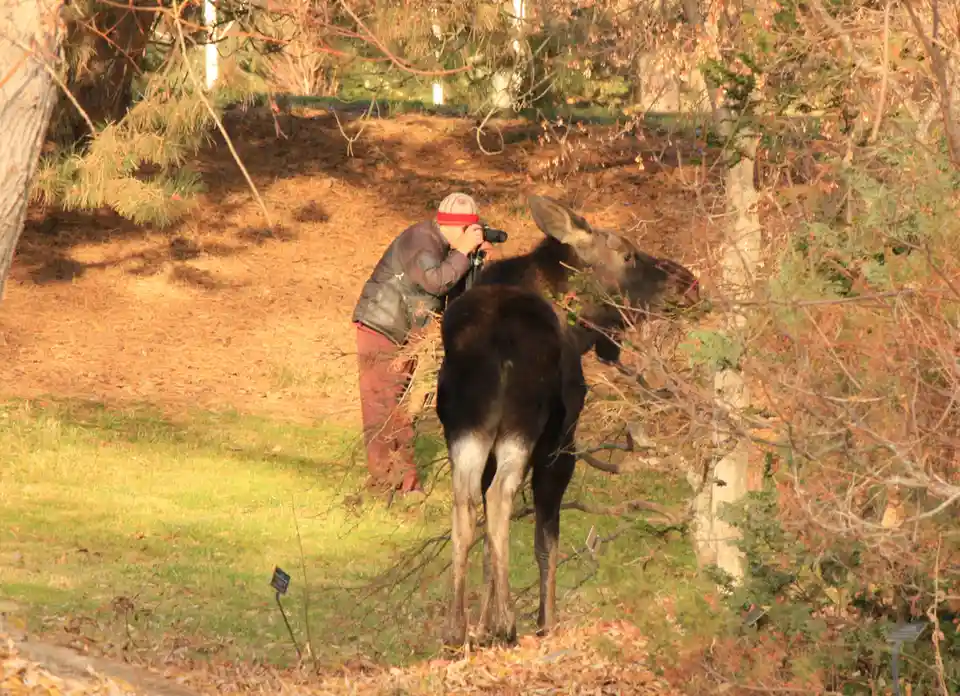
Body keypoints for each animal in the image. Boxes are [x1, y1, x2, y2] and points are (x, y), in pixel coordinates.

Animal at [435, 194, 701, 648]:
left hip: (466, 427)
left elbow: (490, 542)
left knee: (466, 501)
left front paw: (482, 625)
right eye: (628, 254)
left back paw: (456, 627)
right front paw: (545, 621)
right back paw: (507, 623)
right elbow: (547, 540)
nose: (689, 282)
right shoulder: (562, 443)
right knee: (500, 497)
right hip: (523, 424)